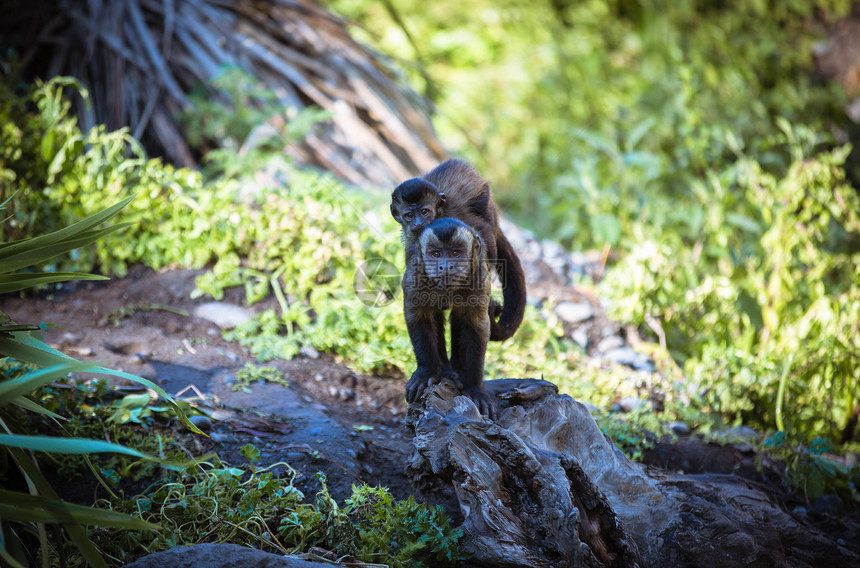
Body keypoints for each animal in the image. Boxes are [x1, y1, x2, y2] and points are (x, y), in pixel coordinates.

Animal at [390, 158, 524, 340]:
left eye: (424, 211)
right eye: (409, 215)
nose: (418, 223)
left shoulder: (454, 216)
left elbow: (483, 235)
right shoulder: (411, 243)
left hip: (485, 200)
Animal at [404, 215, 498, 420]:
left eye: (455, 253)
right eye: (436, 254)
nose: (445, 266)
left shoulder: (479, 276)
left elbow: (476, 325)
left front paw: (475, 387)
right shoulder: (415, 273)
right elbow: (418, 316)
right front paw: (427, 370)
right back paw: (445, 370)